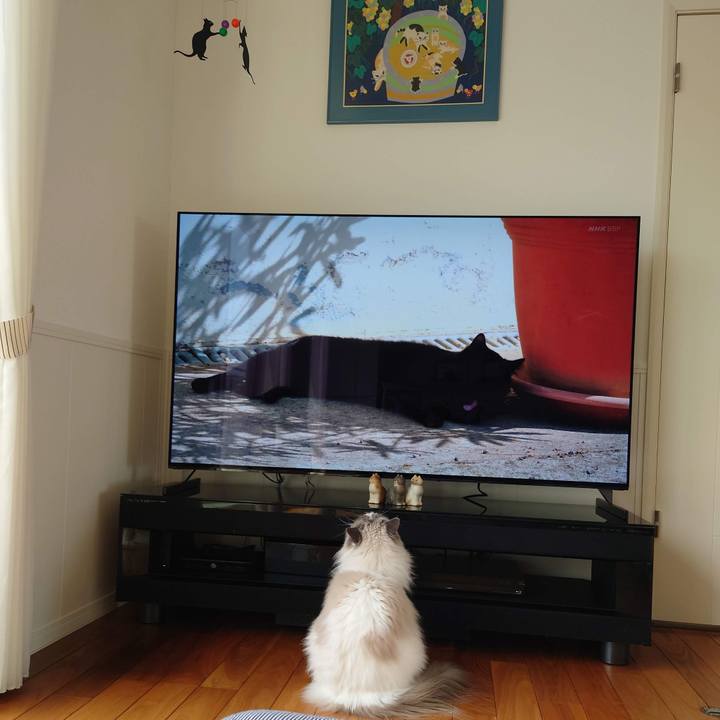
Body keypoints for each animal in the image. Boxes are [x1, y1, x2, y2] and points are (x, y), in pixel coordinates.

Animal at [190, 333, 521, 429]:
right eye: (474, 372)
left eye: (491, 382)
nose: (474, 391)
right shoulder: (391, 389)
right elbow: (424, 410)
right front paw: (435, 417)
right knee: (236, 377)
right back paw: (200, 385)